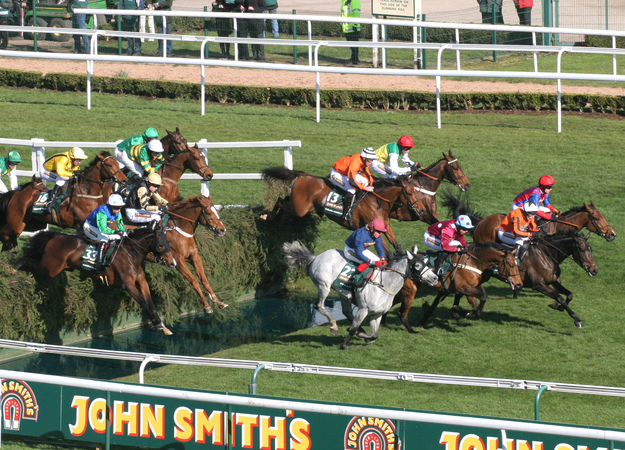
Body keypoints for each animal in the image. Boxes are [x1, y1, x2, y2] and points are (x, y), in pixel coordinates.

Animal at [23, 230, 177, 336]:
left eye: (169, 244)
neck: (131, 255)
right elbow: (144, 304)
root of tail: (57, 236)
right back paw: (20, 268)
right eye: (161, 246)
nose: (172, 263)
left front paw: (163, 326)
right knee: (31, 262)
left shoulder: (142, 281)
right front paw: (158, 325)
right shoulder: (128, 285)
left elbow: (151, 304)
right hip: (51, 268)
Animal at [260, 171, 432, 251]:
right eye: (410, 193)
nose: (423, 211)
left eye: (417, 191)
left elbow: (397, 247)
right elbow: (388, 252)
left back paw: (275, 219)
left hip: (297, 205)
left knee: (284, 199)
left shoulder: (386, 227)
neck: (378, 202)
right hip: (299, 208)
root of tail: (305, 175)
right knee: (280, 200)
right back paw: (267, 217)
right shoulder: (373, 228)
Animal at [284, 241, 438, 350]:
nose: (435, 278)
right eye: (417, 265)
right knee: (318, 305)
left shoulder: (377, 314)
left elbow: (375, 334)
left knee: (346, 311)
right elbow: (353, 329)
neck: (384, 285)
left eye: (425, 262)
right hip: (324, 285)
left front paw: (366, 337)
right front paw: (345, 344)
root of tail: (315, 257)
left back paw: (358, 330)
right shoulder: (363, 310)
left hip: (343, 294)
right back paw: (334, 326)